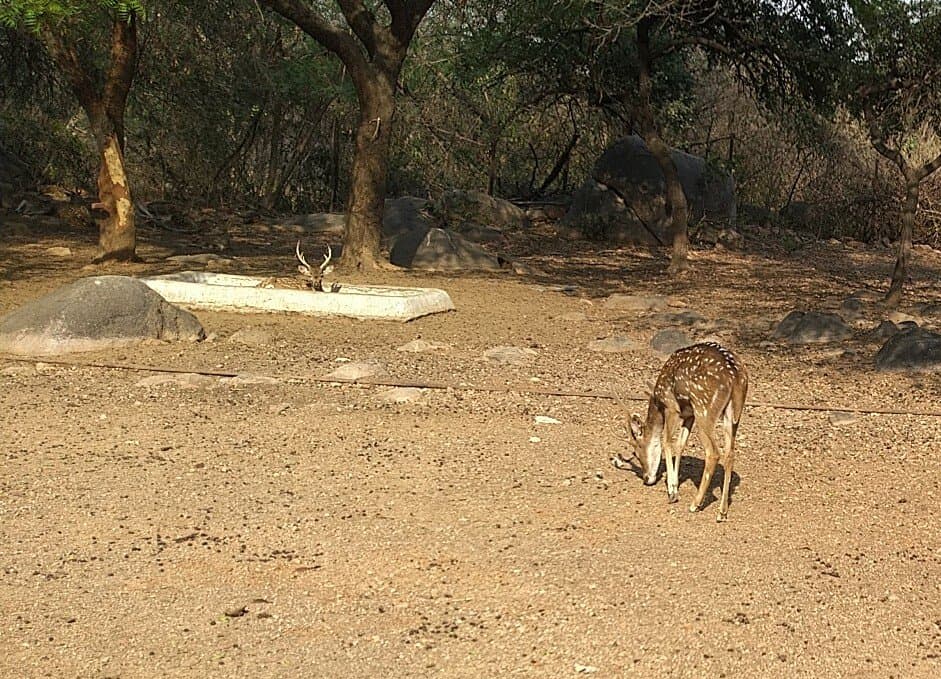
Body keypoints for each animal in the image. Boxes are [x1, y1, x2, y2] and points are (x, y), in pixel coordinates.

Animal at [621, 342, 748, 522]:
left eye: (637, 453)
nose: (646, 478)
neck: (658, 401)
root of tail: (736, 377)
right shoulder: (689, 415)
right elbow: (680, 444)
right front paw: (674, 484)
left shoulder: (672, 407)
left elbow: (666, 441)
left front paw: (672, 491)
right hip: (733, 414)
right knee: (730, 453)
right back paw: (722, 512)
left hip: (703, 409)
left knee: (713, 452)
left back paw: (695, 504)